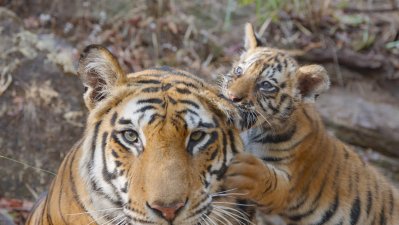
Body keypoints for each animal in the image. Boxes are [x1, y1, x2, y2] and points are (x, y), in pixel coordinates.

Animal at [222, 23, 399, 225]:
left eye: (266, 85)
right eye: (239, 71)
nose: (232, 97)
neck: (253, 131)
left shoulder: (289, 187)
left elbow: (268, 180)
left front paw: (247, 171)